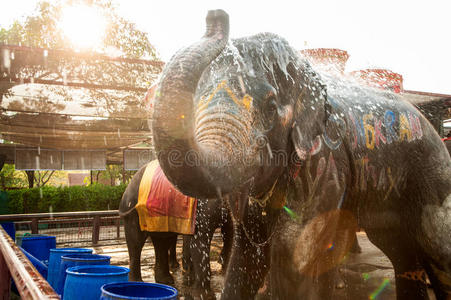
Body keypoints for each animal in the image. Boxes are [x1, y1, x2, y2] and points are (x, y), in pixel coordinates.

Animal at [152, 8, 451, 300]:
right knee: (398, 247)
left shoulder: (324, 166)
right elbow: (248, 258)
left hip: (432, 173)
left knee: (436, 248)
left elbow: (297, 251)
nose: (216, 15)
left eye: (271, 106)